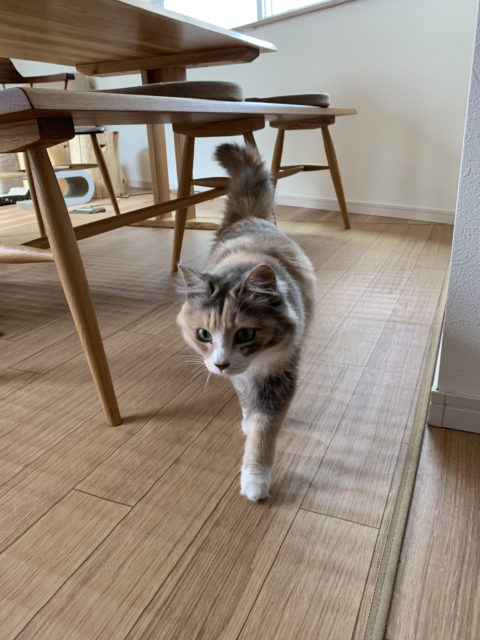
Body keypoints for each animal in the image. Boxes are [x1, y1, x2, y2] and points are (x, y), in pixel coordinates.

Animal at [177, 143, 315, 501]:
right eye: (203, 334)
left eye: (245, 334)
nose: (221, 364)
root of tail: (250, 218)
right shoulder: (239, 375)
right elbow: (246, 402)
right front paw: (246, 420)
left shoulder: (278, 375)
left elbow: (263, 432)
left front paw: (255, 480)